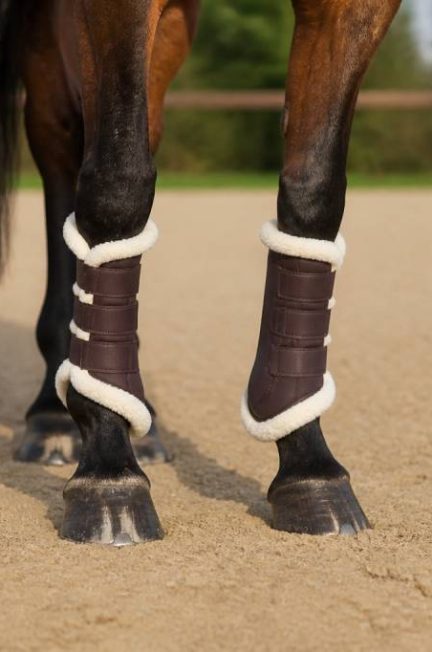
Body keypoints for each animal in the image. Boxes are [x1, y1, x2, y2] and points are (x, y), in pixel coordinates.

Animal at [0, 0, 401, 545]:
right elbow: (117, 183)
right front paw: (108, 471)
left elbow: (315, 191)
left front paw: (309, 466)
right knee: (63, 142)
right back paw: (56, 416)